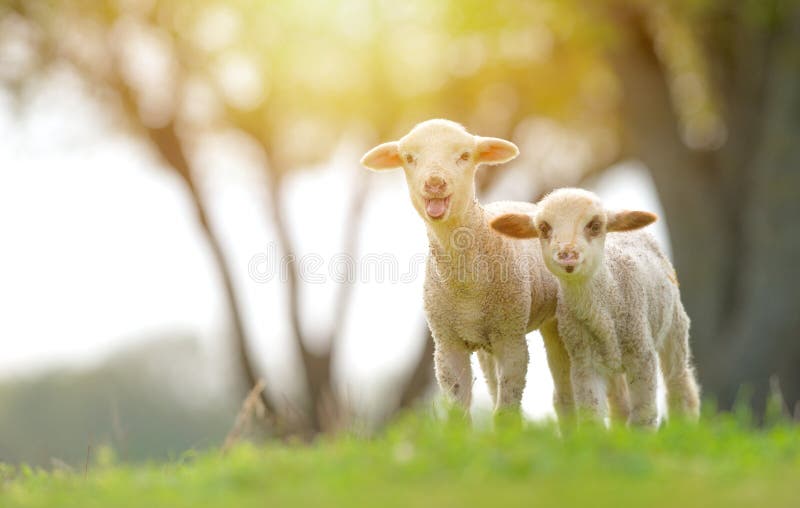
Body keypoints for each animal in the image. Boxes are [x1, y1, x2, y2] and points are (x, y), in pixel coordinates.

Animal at [360, 119, 572, 418]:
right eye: (409, 158)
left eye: (464, 156)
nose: (435, 182)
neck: (466, 287)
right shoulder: (447, 344)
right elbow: (459, 409)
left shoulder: (511, 338)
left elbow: (506, 410)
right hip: (486, 343)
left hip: (555, 322)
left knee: (565, 391)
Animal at [491, 188, 700, 428]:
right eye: (543, 228)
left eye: (595, 225)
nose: (567, 255)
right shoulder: (585, 365)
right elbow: (592, 418)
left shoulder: (642, 356)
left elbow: (643, 417)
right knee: (620, 403)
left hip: (674, 325)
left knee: (680, 384)